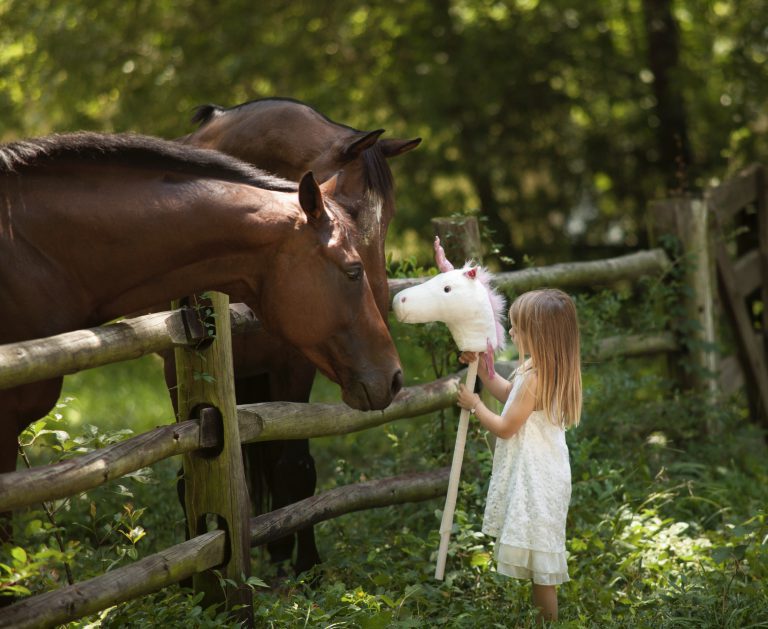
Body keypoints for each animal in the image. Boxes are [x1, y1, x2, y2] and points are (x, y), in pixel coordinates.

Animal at [176, 97, 420, 576]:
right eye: (347, 210)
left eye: (389, 217)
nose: (380, 306)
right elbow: (187, 477)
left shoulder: (294, 364)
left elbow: (295, 466)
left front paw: (306, 564)